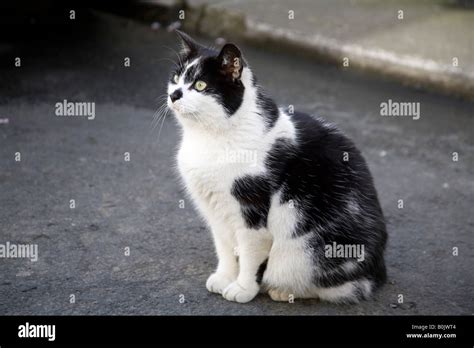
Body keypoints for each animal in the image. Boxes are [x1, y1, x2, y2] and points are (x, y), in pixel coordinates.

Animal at [167, 30, 386, 302]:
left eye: (200, 86)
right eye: (176, 78)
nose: (174, 94)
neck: (208, 138)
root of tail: (379, 269)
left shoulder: (252, 212)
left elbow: (251, 256)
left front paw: (243, 288)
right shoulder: (216, 212)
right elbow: (224, 247)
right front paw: (225, 277)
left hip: (310, 250)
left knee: (338, 287)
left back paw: (283, 291)